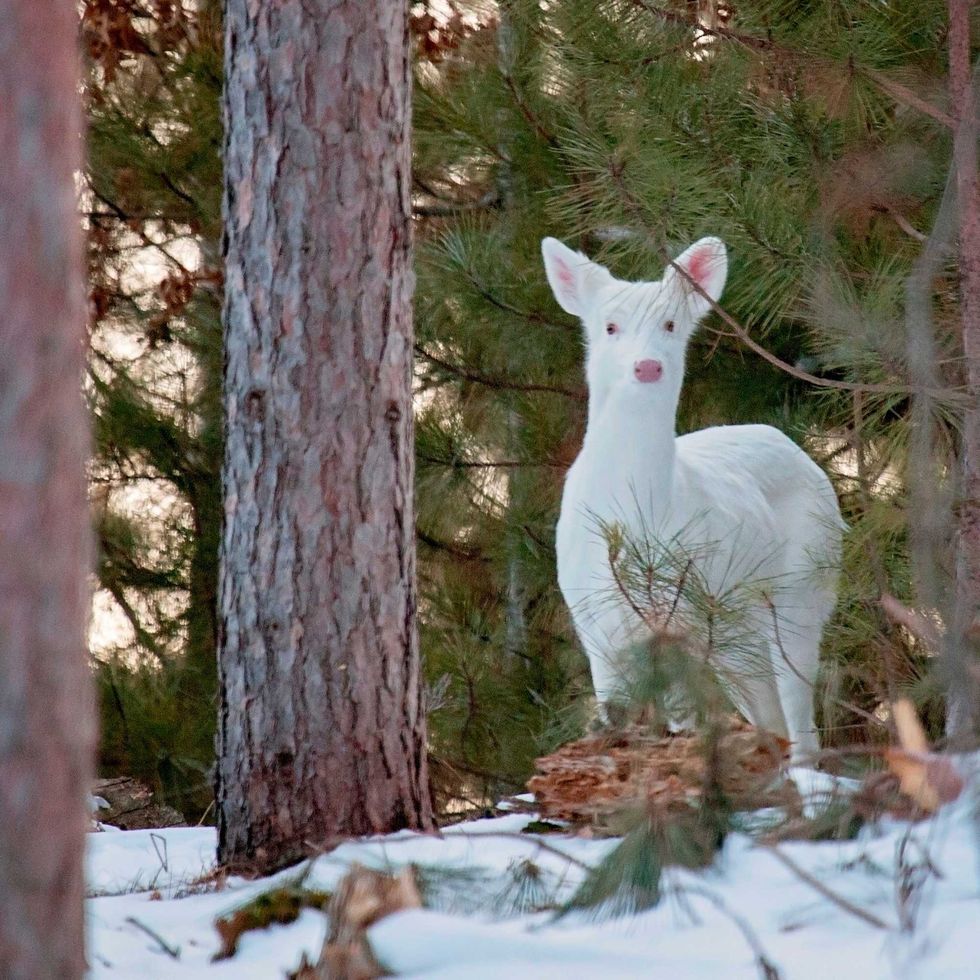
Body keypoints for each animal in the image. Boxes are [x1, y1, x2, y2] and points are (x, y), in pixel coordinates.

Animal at [541, 235, 844, 762]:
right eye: (609, 326)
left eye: (670, 324)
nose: (647, 365)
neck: (635, 512)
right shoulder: (593, 620)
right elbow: (614, 715)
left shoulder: (679, 620)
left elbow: (683, 717)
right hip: (733, 631)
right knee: (766, 710)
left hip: (804, 586)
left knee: (799, 710)